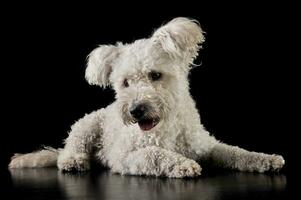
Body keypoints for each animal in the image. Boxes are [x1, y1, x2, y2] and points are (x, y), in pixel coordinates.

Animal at [7, 18, 284, 178]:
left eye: (155, 75)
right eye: (125, 83)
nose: (136, 110)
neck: (166, 128)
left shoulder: (207, 146)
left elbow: (236, 152)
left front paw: (266, 159)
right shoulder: (125, 158)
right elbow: (154, 154)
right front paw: (182, 165)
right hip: (86, 125)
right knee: (70, 148)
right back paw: (74, 161)